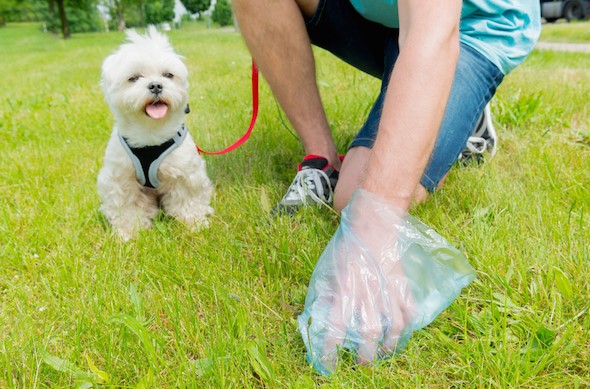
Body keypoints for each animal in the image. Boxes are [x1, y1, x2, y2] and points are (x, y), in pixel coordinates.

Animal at [98, 26, 214, 239]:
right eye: (133, 78)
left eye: (168, 75)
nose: (156, 85)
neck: (150, 133)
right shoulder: (119, 178)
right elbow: (126, 207)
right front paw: (129, 232)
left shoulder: (185, 172)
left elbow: (188, 200)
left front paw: (194, 223)